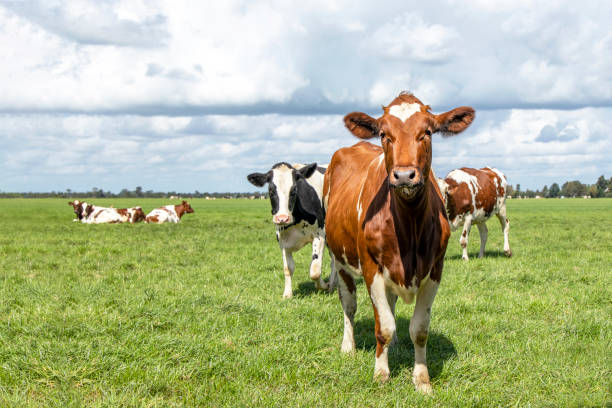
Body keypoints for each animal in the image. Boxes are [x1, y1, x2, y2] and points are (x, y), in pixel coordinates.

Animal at [247, 161, 334, 298]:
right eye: (271, 190)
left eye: (294, 190)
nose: (282, 218)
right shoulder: (283, 242)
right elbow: (288, 269)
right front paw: (287, 294)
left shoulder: (320, 235)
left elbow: (315, 270)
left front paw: (324, 286)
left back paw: (332, 285)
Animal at [322, 91, 476, 392]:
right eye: (384, 134)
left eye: (427, 132)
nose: (404, 175)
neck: (409, 225)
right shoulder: (371, 269)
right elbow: (382, 327)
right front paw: (381, 374)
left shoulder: (435, 269)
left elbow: (419, 329)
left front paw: (422, 379)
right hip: (340, 259)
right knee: (349, 304)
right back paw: (349, 346)